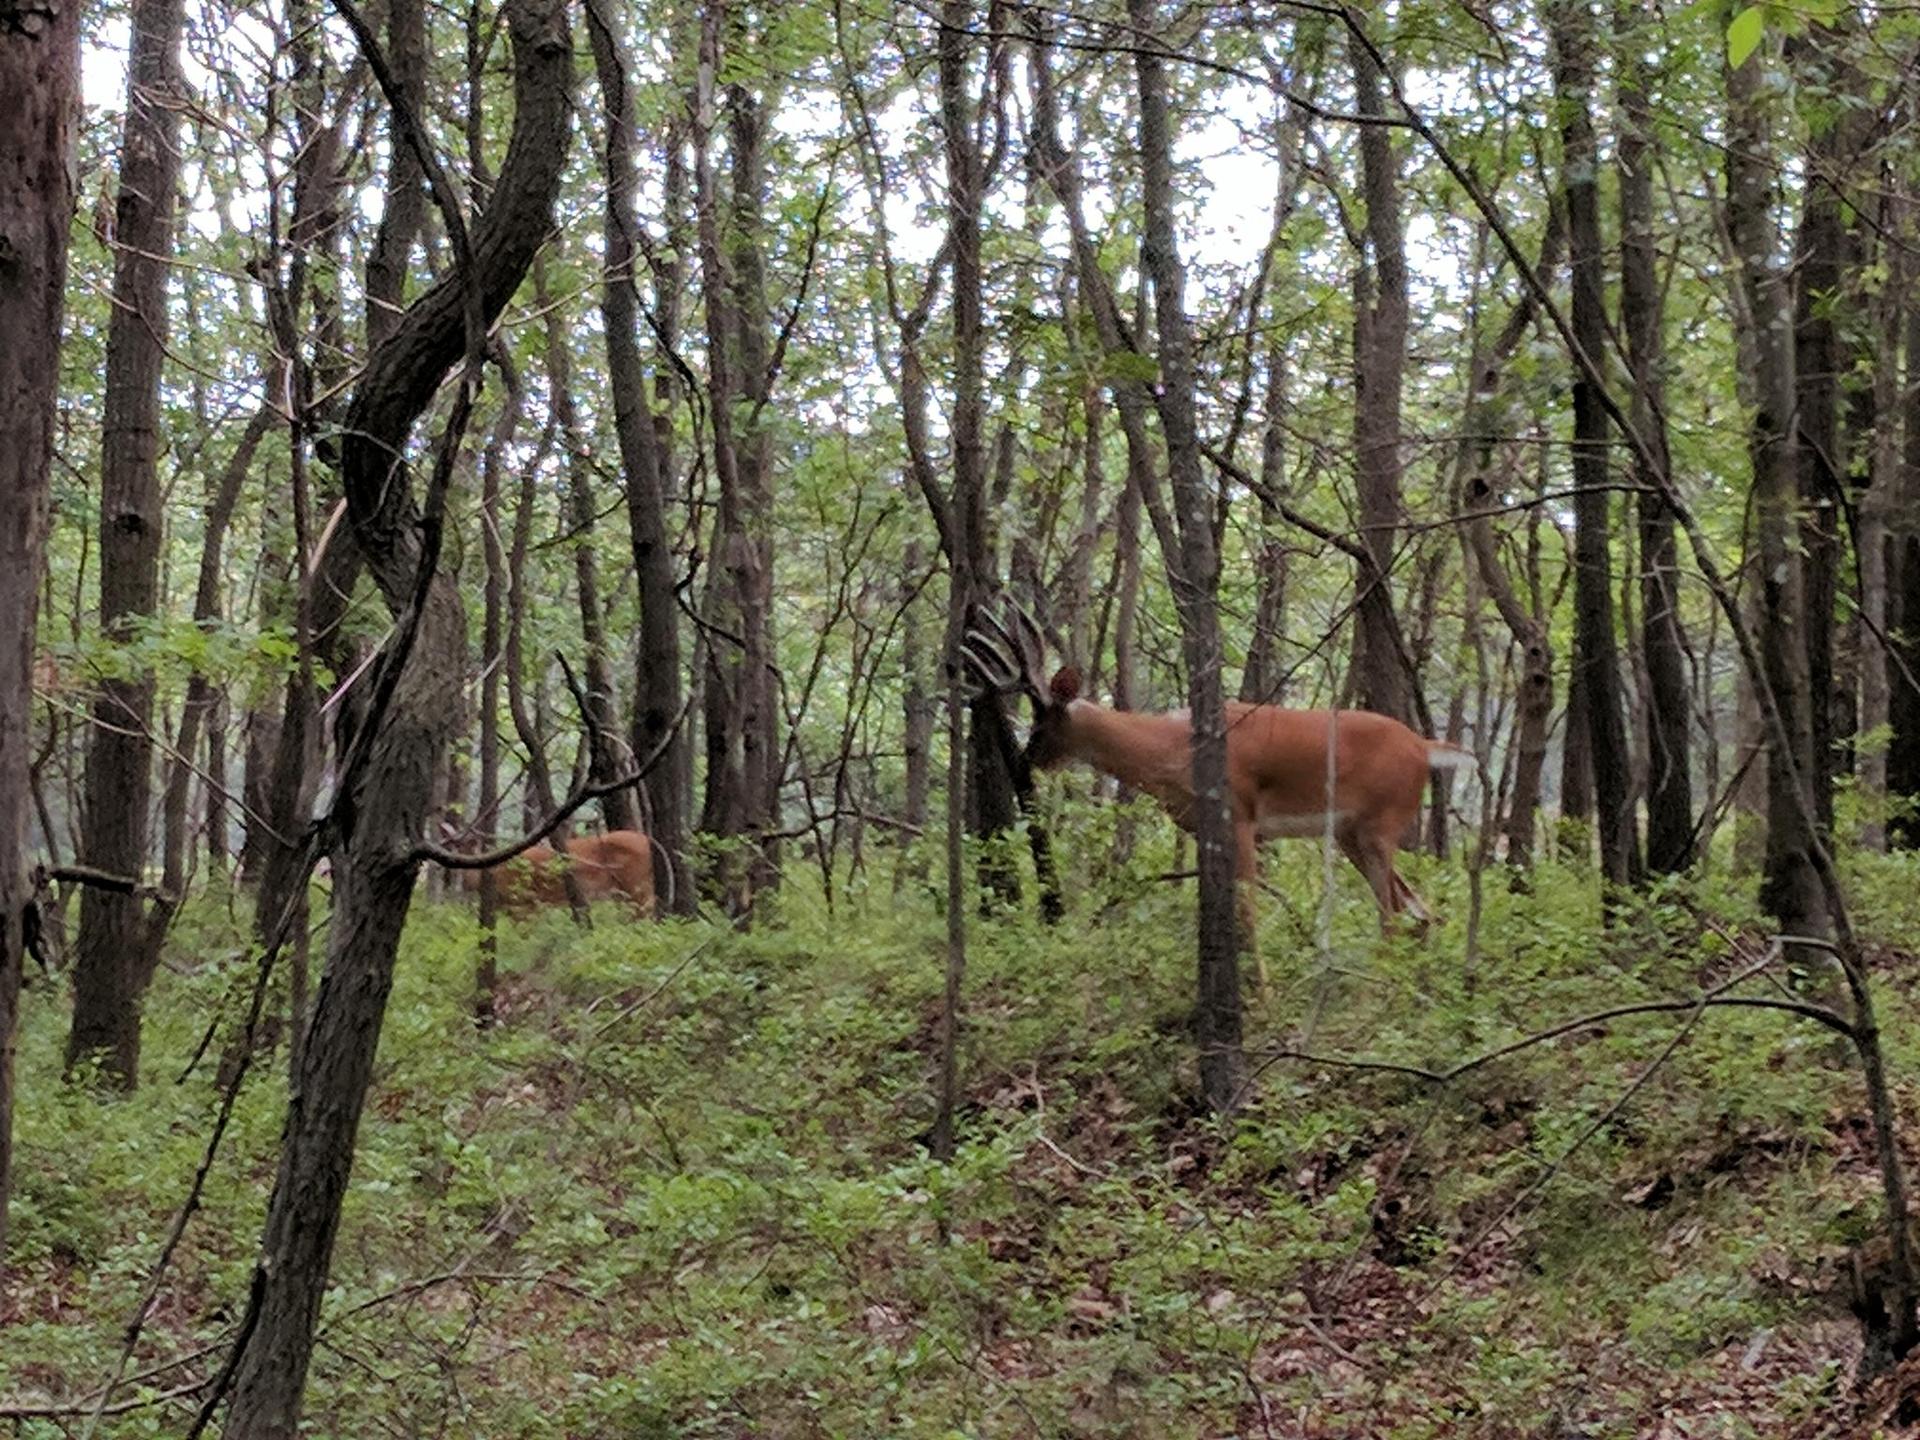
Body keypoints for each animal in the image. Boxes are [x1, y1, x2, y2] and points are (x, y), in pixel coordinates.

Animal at [963, 604, 1472, 960]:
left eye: (1042, 722)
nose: (1025, 761)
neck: (1171, 748)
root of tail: (1423, 747)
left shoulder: (1240, 813)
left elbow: (1247, 915)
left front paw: (1262, 1004)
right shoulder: (1204, 829)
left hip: (1381, 824)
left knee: (1394, 914)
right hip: (1349, 832)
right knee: (1420, 911)